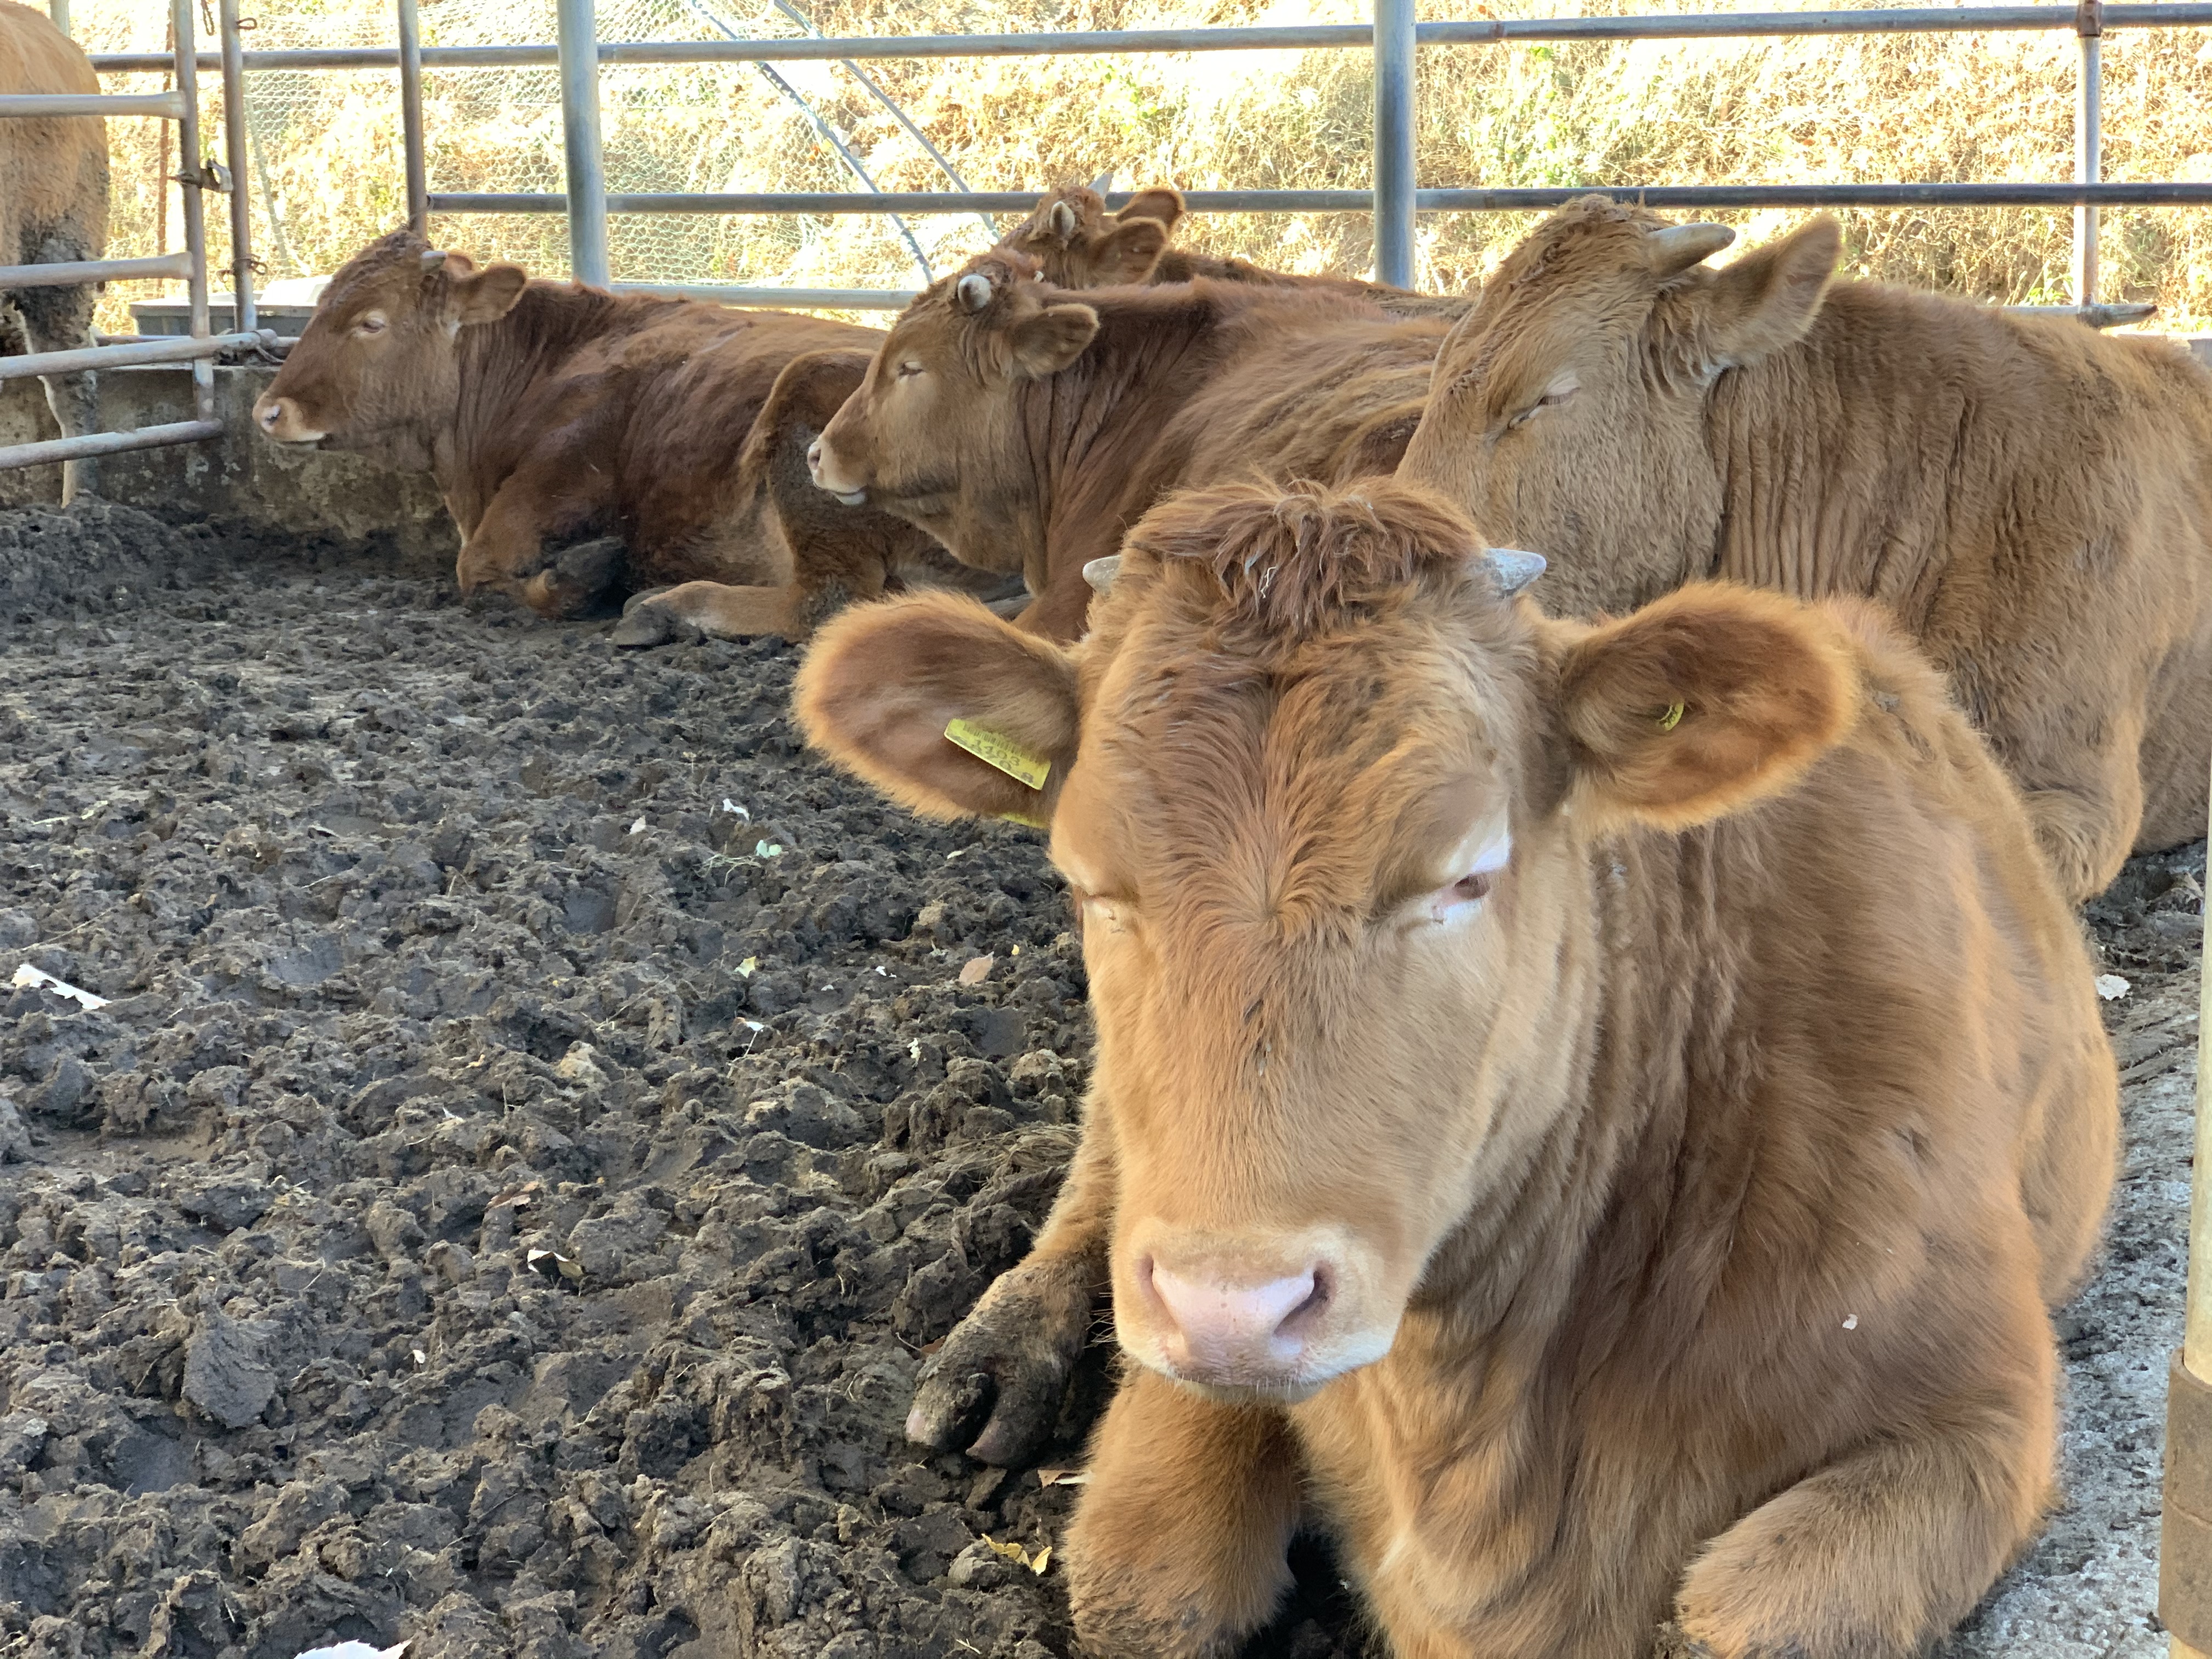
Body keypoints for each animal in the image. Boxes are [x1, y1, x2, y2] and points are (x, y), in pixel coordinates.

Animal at [793, 475, 2118, 1659]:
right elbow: (1147, 1591)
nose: (1236, 1308)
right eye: (1087, 882)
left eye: (1468, 873)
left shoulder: (1980, 1409)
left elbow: (1743, 1621)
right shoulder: (1184, 1322)